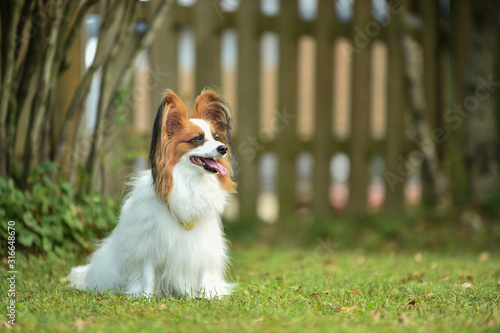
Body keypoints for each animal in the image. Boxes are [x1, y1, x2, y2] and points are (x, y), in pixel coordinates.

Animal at [66, 88, 236, 298]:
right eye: (198, 139)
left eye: (217, 137)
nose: (223, 148)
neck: (189, 182)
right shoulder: (148, 245)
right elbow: (148, 273)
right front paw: (145, 297)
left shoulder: (203, 246)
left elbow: (203, 272)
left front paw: (207, 296)